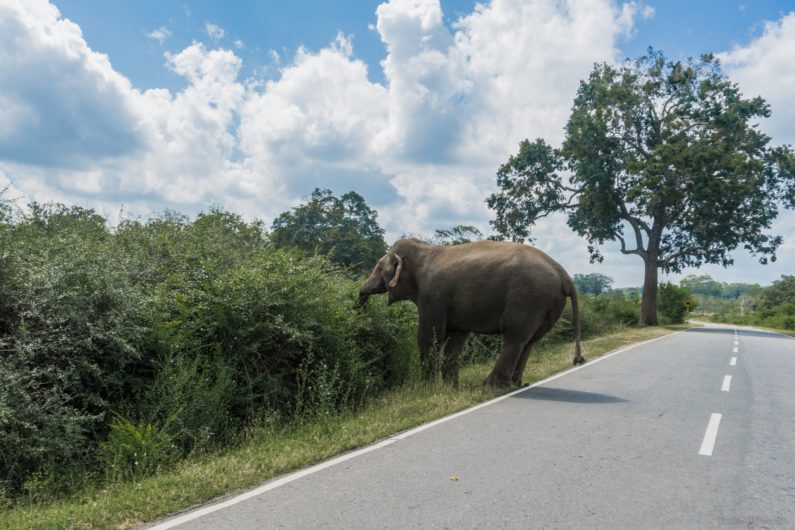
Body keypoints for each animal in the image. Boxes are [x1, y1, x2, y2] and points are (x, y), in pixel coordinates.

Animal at [356, 238, 584, 387]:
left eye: (378, 268)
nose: (359, 307)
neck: (423, 249)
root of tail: (564, 274)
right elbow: (455, 339)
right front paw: (450, 388)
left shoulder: (432, 297)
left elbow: (429, 336)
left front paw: (425, 388)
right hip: (548, 303)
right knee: (530, 341)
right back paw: (514, 384)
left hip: (528, 299)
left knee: (515, 337)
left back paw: (490, 386)